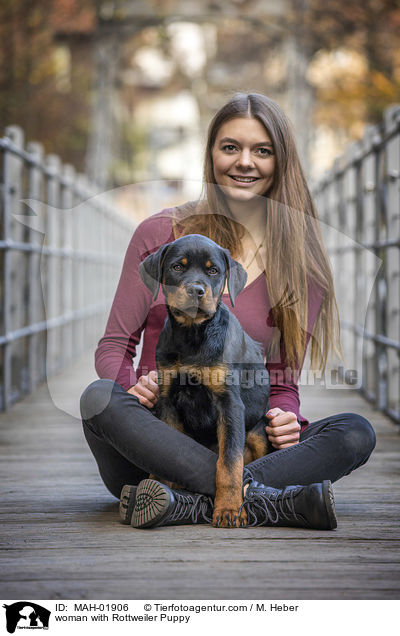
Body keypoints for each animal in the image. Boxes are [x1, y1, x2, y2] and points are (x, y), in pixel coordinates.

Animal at [139, 234, 270, 528]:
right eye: (177, 267)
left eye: (213, 271)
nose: (196, 291)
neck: (192, 335)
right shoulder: (168, 399)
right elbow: (168, 448)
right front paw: (161, 486)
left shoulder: (229, 403)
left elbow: (230, 462)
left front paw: (229, 509)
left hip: (259, 431)